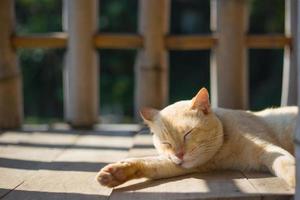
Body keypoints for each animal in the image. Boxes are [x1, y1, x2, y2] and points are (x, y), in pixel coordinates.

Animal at [96, 87, 298, 188]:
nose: (179, 155)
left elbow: (285, 163)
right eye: (166, 143)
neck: (223, 154)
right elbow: (149, 163)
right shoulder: (179, 164)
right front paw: (115, 174)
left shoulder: (267, 149)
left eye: (188, 133)